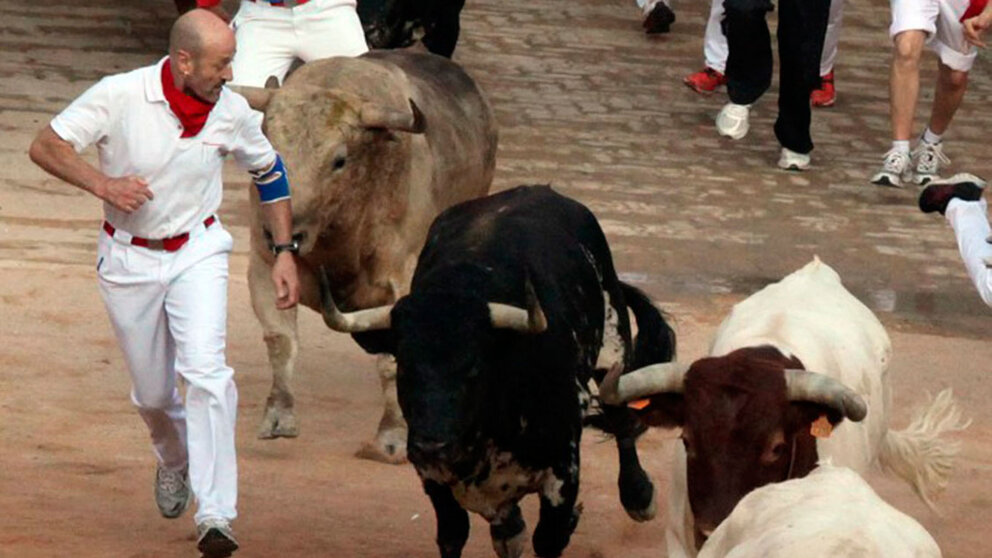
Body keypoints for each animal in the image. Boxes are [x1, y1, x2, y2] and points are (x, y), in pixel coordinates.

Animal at [318, 187, 676, 558]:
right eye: (405, 366)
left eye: (475, 367)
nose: (432, 445)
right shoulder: (433, 479)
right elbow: (453, 535)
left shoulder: (563, 475)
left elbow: (547, 539)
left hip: (612, 343)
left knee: (620, 416)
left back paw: (639, 496)